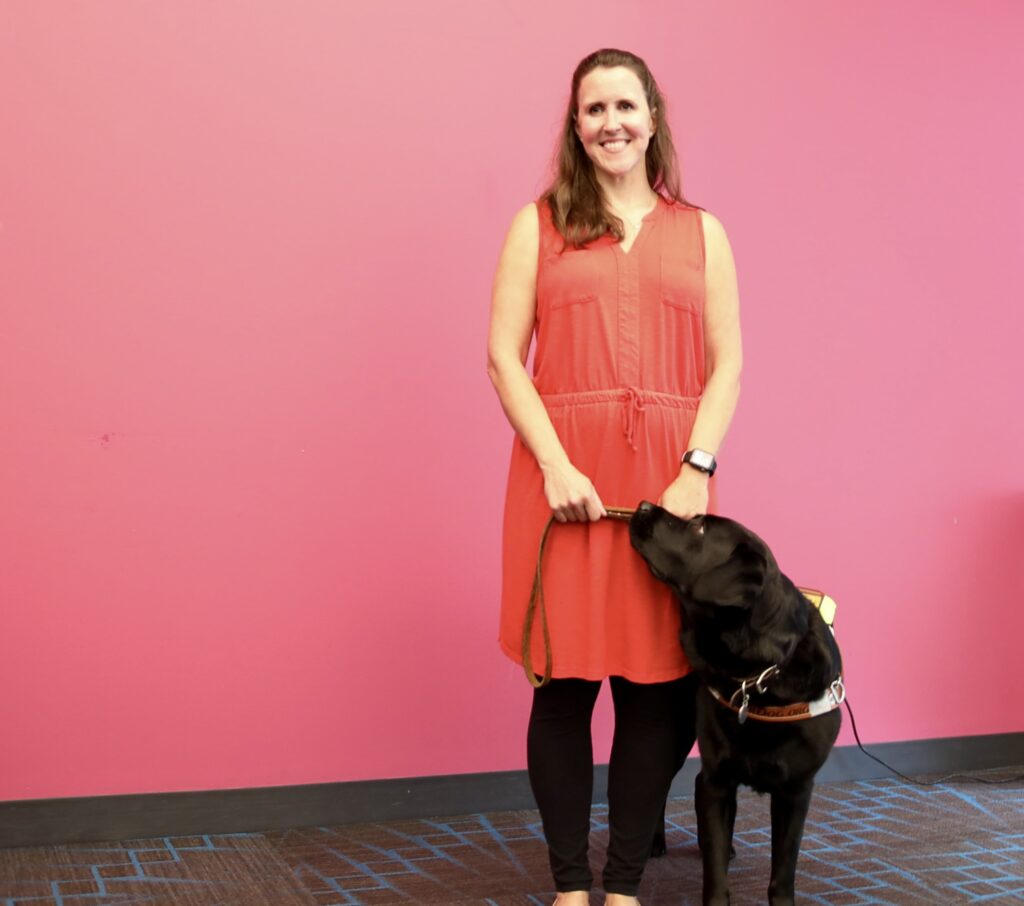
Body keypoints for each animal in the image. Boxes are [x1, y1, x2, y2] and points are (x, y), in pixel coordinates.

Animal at [626, 501, 843, 904]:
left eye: (698, 527)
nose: (644, 505)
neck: (758, 676)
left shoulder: (796, 791)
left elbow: (783, 872)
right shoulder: (718, 782)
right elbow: (715, 873)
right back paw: (656, 840)